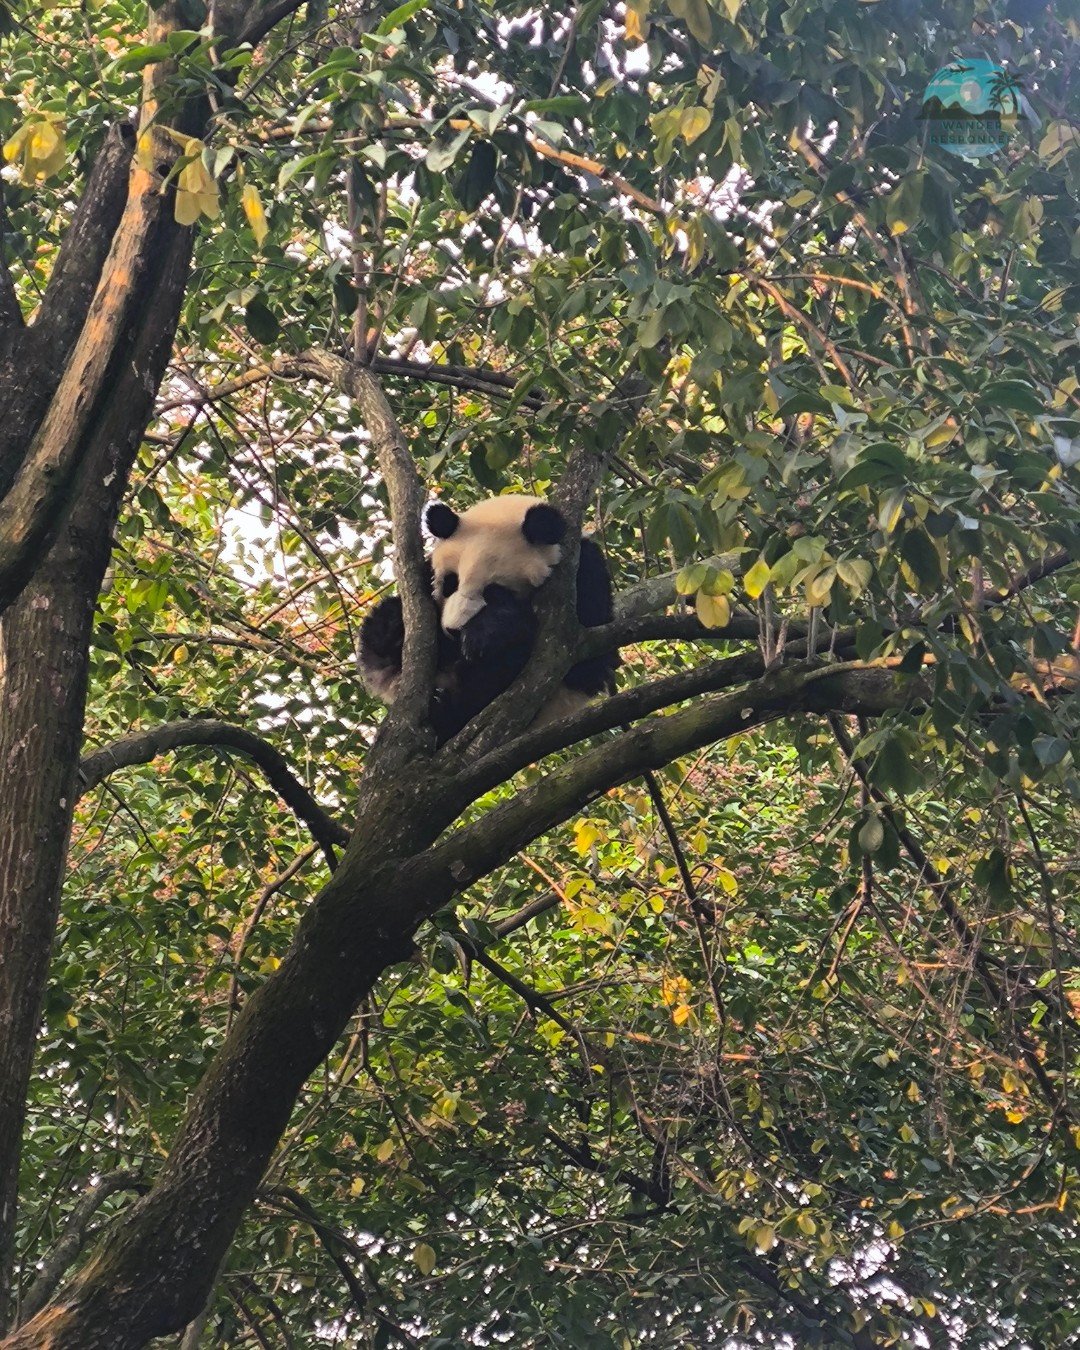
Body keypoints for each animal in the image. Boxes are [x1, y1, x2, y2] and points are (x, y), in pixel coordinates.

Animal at [358, 494, 620, 744]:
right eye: (450, 583)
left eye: (494, 592)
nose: (453, 630)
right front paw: (395, 629)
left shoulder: (583, 577)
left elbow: (585, 658)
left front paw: (485, 633)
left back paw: (445, 710)